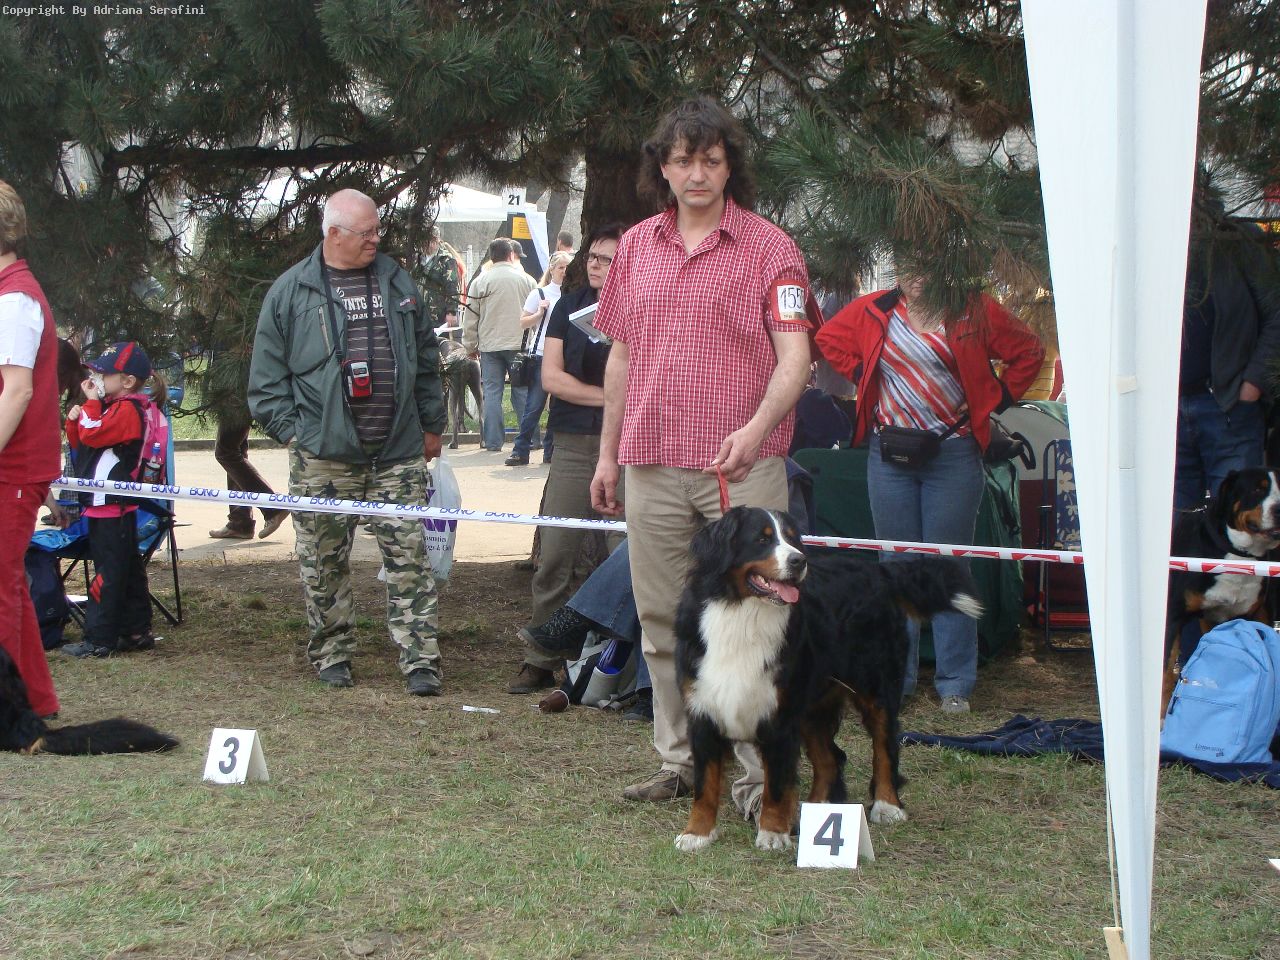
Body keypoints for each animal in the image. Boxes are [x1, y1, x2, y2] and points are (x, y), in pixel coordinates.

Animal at [674, 506, 982, 853]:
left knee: (885, 746)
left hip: (875, 688)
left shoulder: (780, 716)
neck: (742, 614)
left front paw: (772, 833)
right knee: (831, 758)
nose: (799, 561)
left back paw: (887, 805)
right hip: (813, 704)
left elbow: (775, 785)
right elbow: (705, 784)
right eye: (762, 539)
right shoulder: (702, 710)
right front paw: (697, 833)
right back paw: (818, 810)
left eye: (792, 539)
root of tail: (878, 572)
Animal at [1163, 467, 1280, 714]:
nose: (1279, 509)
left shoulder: (1253, 614)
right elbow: (1165, 674)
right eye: (1257, 489)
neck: (1238, 555)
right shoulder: (1173, 617)